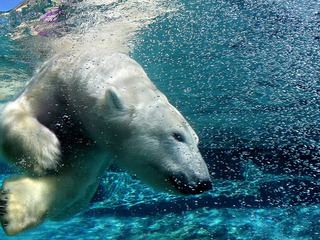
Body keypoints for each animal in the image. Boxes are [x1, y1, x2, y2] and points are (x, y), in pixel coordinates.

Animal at [0, 47, 212, 236]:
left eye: (196, 141)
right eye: (177, 135)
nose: (203, 182)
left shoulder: (95, 143)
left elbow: (73, 178)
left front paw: (11, 206)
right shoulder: (52, 83)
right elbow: (14, 111)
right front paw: (45, 151)